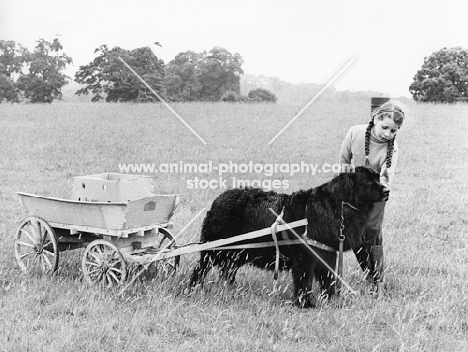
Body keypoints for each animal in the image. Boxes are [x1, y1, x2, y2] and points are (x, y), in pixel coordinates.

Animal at [188, 166, 390, 306]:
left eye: (378, 178)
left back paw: (231, 289)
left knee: (227, 270)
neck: (337, 206)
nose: (387, 190)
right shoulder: (305, 257)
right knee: (200, 269)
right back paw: (193, 289)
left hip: (237, 252)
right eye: (368, 182)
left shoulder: (327, 254)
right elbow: (304, 281)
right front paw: (305, 304)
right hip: (216, 248)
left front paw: (332, 300)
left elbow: (329, 279)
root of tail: (218, 200)